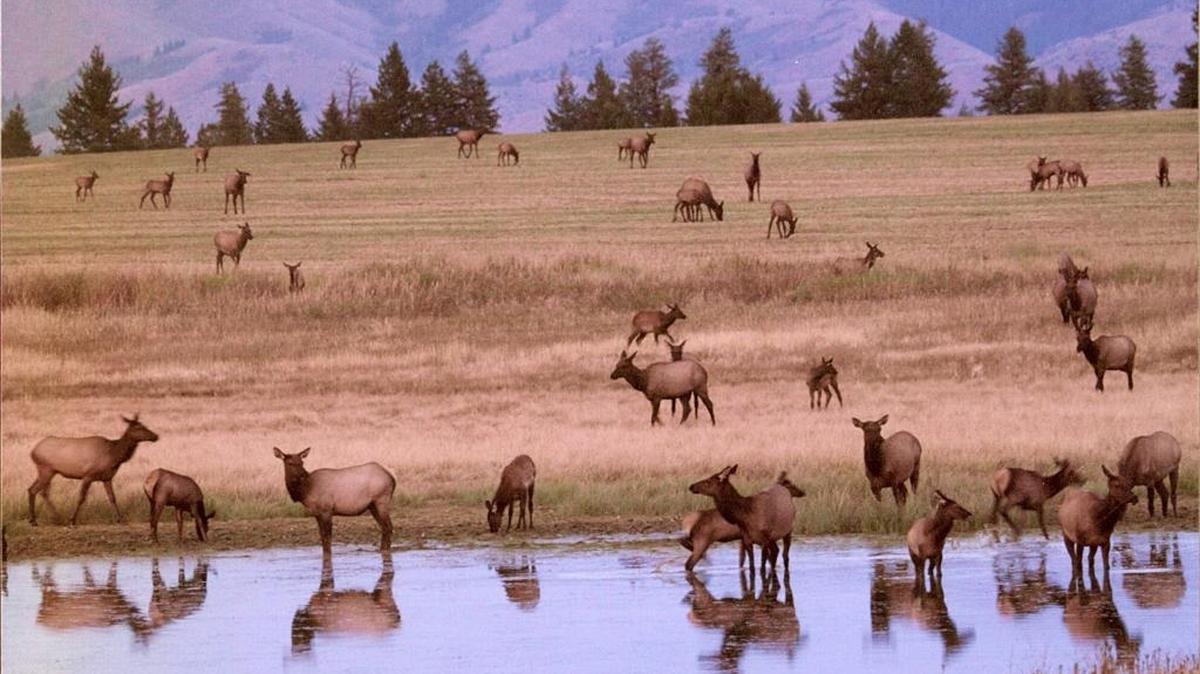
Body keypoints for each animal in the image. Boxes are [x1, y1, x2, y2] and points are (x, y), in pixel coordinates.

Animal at [27, 414, 159, 526]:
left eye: (144, 425)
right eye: (139, 427)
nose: (156, 436)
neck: (114, 456)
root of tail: (33, 451)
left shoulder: (107, 478)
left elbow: (112, 498)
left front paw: (120, 520)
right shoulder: (88, 475)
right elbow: (81, 498)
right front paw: (72, 520)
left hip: (47, 471)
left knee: (36, 490)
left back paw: (47, 519)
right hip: (46, 469)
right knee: (36, 490)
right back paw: (40, 520)